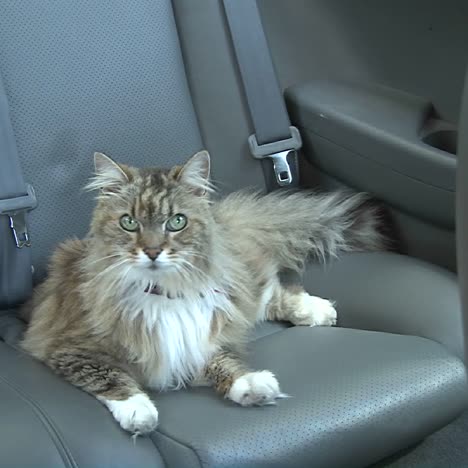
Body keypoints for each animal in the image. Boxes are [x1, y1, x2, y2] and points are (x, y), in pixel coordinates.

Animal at [20, 150, 386, 436]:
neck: (162, 292)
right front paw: (139, 411)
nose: (152, 251)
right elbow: (109, 378)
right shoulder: (69, 348)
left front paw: (249, 384)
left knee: (269, 293)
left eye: (176, 222)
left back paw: (317, 310)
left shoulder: (199, 332)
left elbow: (221, 361)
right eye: (129, 223)